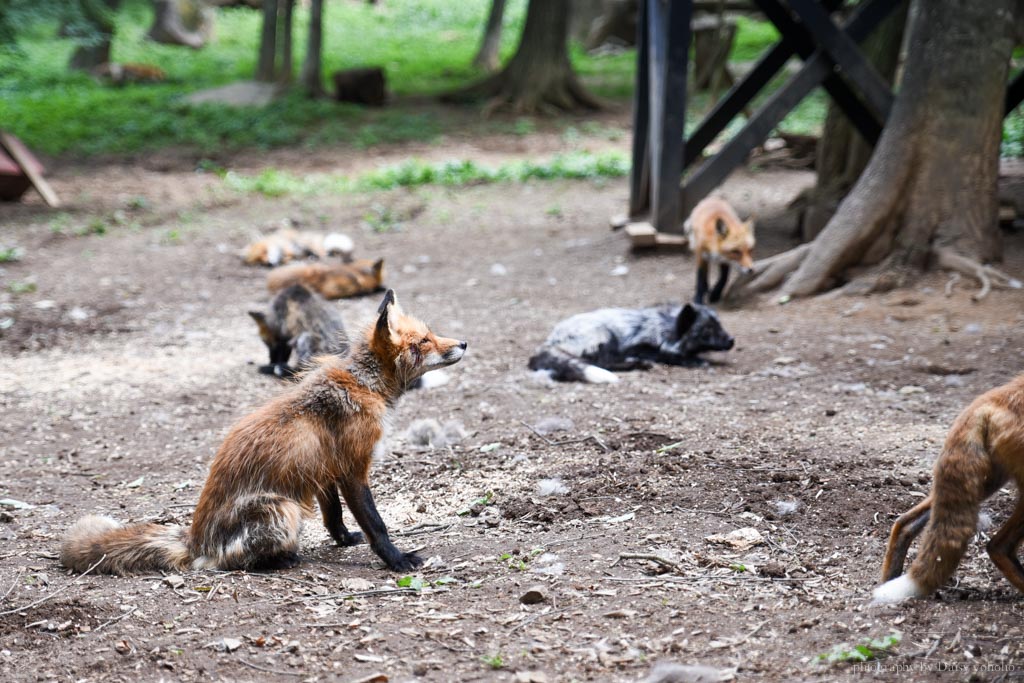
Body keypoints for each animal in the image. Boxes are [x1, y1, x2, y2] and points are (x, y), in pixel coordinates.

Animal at [59, 290, 468, 573]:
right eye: (423, 342)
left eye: (431, 334)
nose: (464, 342)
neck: (362, 384)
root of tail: (196, 540)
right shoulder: (353, 469)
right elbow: (376, 525)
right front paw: (396, 560)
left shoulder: (323, 469)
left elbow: (333, 516)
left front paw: (343, 540)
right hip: (282, 508)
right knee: (226, 562)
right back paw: (281, 559)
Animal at [528, 305, 737, 385]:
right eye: (707, 330)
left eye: (720, 325)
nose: (731, 340)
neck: (662, 326)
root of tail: (551, 340)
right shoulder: (636, 345)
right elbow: (665, 354)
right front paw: (695, 360)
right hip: (607, 336)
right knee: (604, 362)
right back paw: (637, 364)